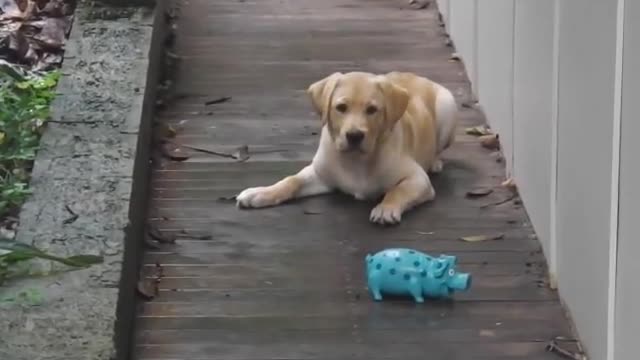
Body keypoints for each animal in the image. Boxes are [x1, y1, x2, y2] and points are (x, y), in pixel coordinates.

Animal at [235, 71, 456, 225]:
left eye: (372, 110)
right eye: (341, 108)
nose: (354, 136)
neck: (356, 160)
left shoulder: (418, 179)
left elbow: (398, 190)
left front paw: (386, 208)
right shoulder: (320, 174)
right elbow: (291, 181)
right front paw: (261, 193)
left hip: (447, 106)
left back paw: (435, 162)